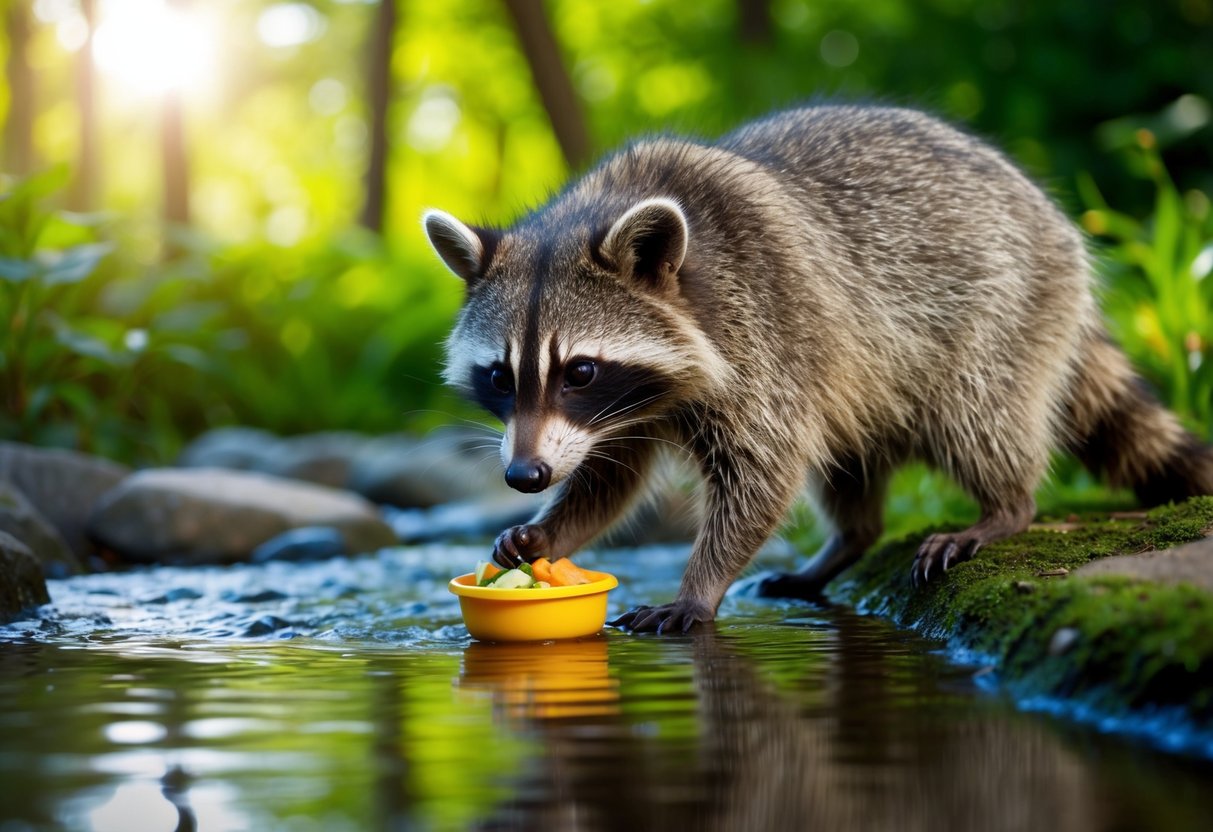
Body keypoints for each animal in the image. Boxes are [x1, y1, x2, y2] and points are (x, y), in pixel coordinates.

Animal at [422, 105, 1213, 634]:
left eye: (579, 371)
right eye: (500, 377)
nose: (523, 476)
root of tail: (1051, 220)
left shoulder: (764, 335)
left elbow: (762, 474)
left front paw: (699, 583)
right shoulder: (623, 412)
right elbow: (609, 478)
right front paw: (547, 532)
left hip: (1005, 306)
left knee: (976, 414)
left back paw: (1004, 506)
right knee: (853, 461)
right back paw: (846, 543)